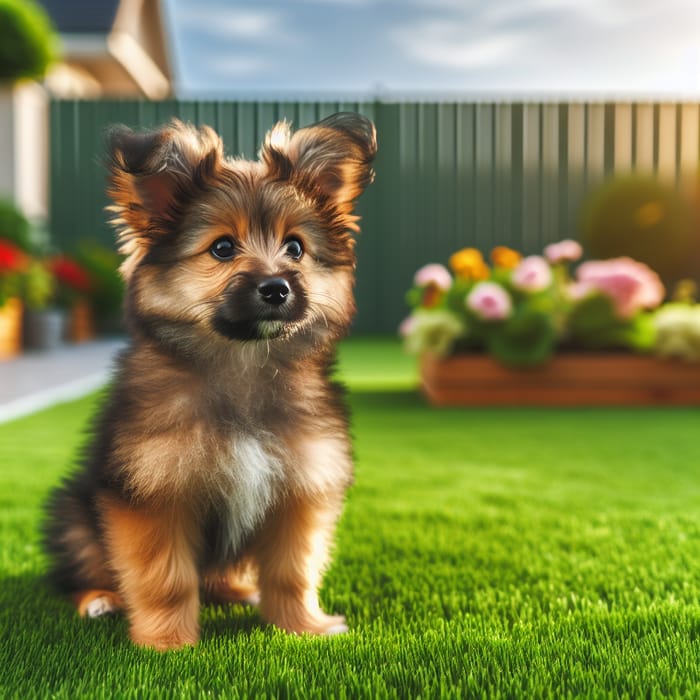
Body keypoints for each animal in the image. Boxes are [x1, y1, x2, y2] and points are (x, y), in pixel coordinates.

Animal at [42, 110, 378, 652]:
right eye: (222, 248)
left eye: (295, 248)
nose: (276, 288)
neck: (243, 363)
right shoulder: (154, 494)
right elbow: (165, 579)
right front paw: (168, 643)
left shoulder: (301, 489)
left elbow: (293, 571)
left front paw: (302, 627)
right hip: (74, 513)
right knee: (85, 568)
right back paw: (99, 599)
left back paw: (237, 591)